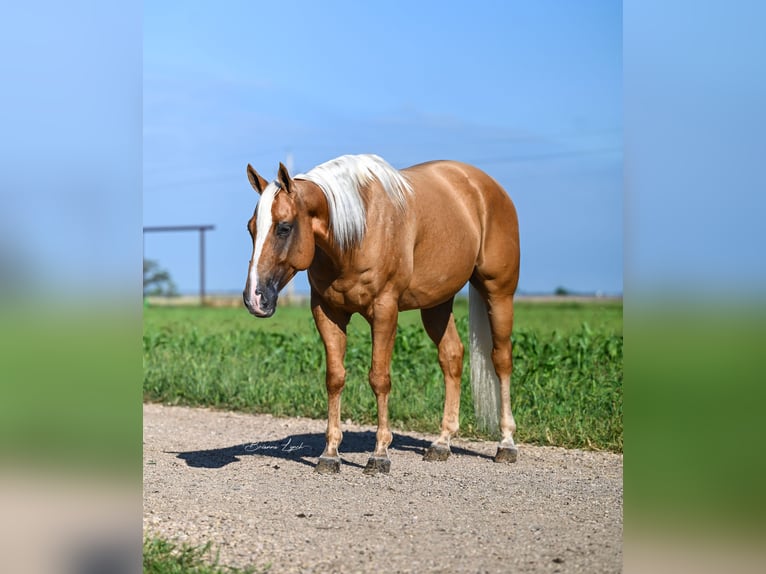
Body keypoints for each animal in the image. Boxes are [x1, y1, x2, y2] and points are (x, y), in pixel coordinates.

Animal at [244, 154, 520, 476]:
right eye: (251, 228)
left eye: (284, 227)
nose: (255, 298)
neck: (355, 232)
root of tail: (486, 186)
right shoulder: (327, 312)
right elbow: (335, 378)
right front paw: (330, 454)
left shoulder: (385, 311)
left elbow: (379, 378)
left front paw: (379, 454)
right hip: (437, 303)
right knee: (452, 356)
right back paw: (442, 443)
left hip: (498, 293)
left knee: (501, 359)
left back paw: (506, 443)